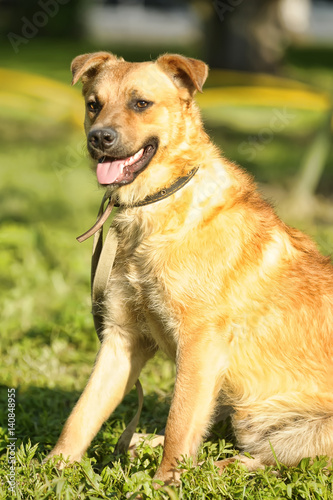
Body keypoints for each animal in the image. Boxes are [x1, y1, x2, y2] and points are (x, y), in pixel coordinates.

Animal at [46, 51, 332, 484]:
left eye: (141, 103)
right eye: (93, 104)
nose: (99, 138)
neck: (159, 206)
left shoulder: (199, 344)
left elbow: (180, 424)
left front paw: (164, 484)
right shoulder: (121, 339)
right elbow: (82, 415)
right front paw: (51, 469)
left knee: (259, 459)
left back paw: (204, 467)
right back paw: (141, 443)